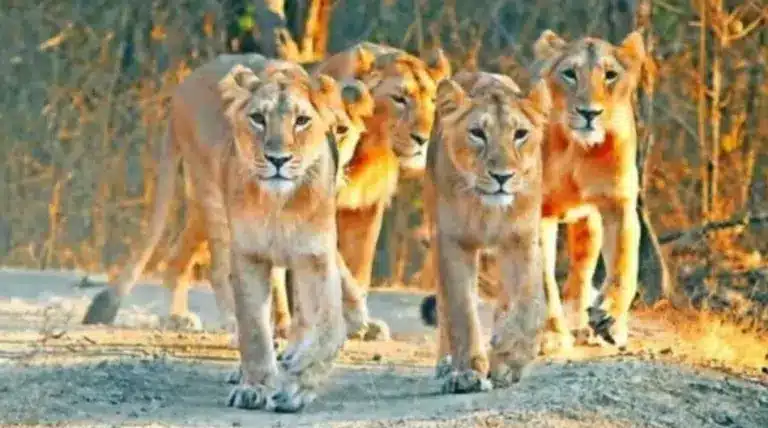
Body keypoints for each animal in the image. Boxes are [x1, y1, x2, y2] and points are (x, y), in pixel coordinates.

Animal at [423, 71, 550, 394]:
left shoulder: (522, 241)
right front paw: (467, 372)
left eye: (520, 134)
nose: (502, 176)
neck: (488, 211)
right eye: (477, 133)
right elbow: (460, 310)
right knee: (443, 308)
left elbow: (530, 304)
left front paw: (508, 357)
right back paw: (447, 365)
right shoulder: (452, 242)